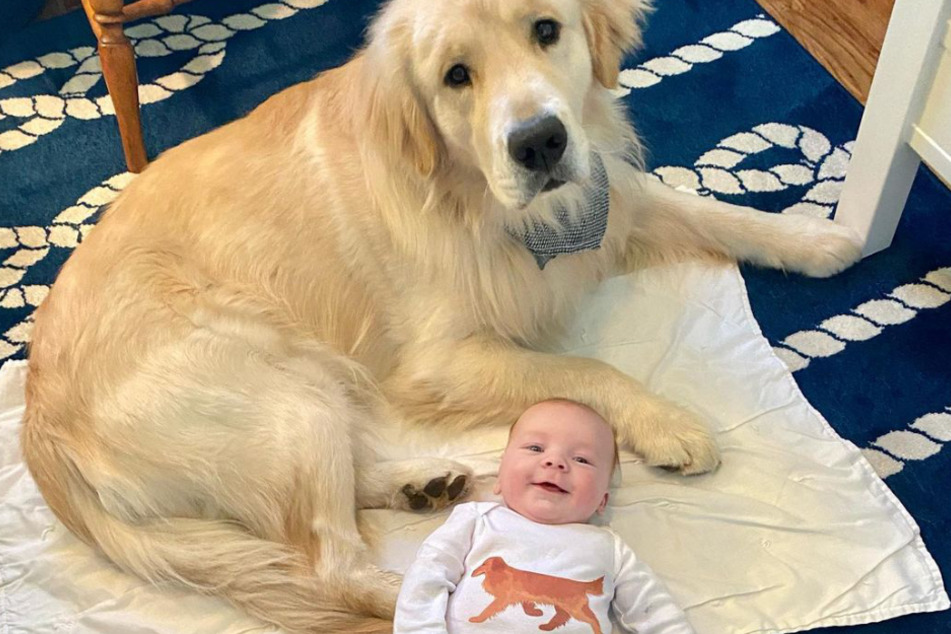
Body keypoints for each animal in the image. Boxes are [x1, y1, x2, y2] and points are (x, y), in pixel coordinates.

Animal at [18, 0, 864, 628]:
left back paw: (426, 483)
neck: (473, 196)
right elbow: (583, 368)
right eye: (456, 76)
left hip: (305, 394)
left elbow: (706, 210)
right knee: (328, 565)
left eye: (546, 30)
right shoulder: (443, 357)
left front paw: (818, 238)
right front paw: (664, 420)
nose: (539, 142)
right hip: (281, 388)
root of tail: (38, 429)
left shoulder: (599, 200)